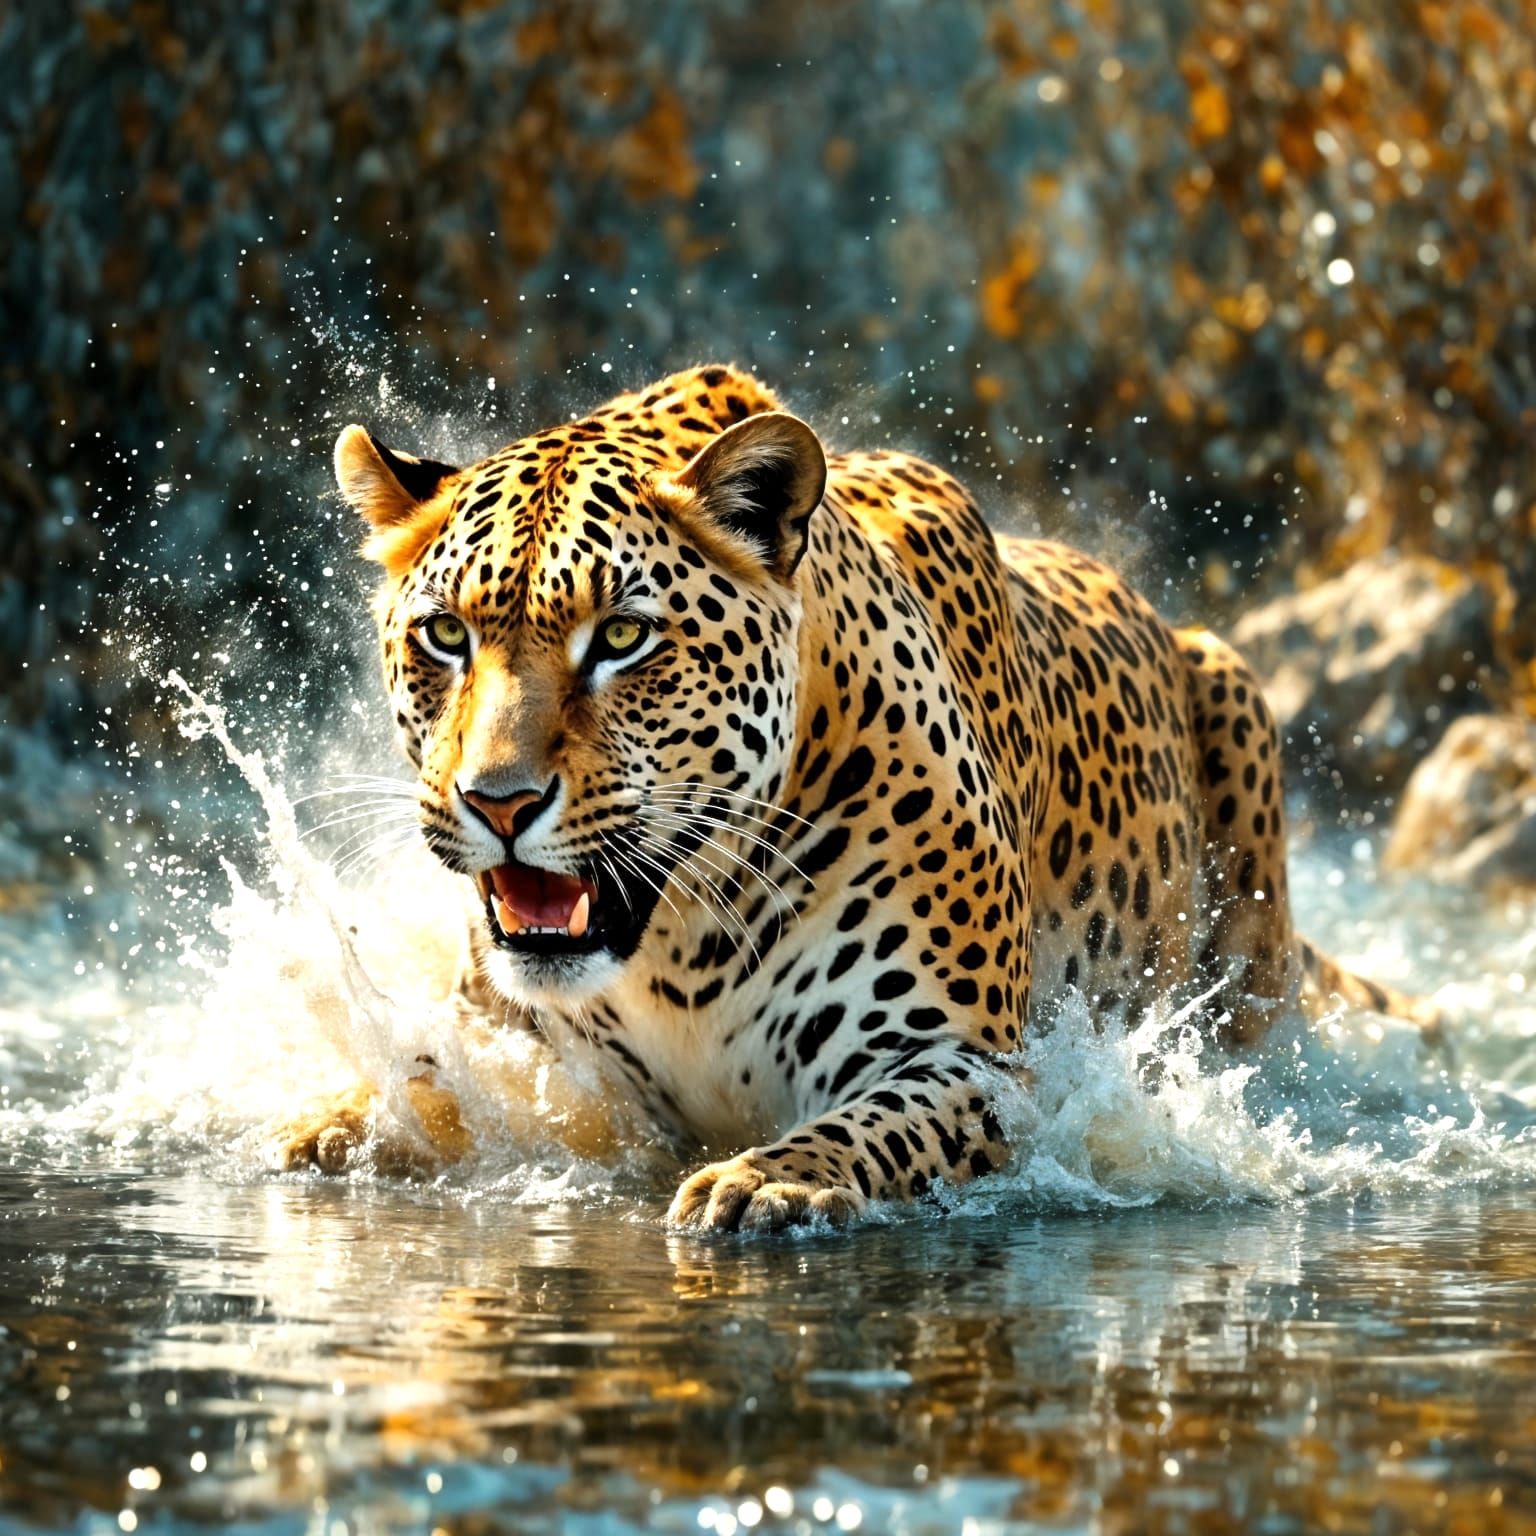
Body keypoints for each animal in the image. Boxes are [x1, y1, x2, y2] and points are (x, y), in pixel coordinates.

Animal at [282, 363, 1437, 1229]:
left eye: (621, 637)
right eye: (446, 634)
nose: (499, 802)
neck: (676, 946)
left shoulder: (967, 1064)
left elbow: (865, 1130)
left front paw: (764, 1182)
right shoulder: (522, 1048)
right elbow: (429, 1076)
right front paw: (334, 1123)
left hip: (1240, 740)